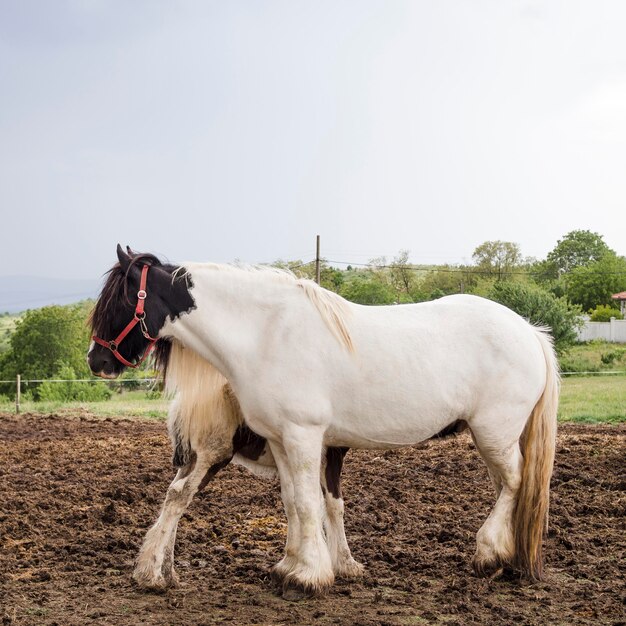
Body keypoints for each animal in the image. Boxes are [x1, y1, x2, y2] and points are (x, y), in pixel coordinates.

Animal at [86, 244, 556, 596]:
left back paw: (488, 554)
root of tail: (530, 332)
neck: (264, 333)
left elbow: (310, 504)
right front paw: (292, 566)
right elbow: (295, 502)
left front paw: (309, 576)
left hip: (493, 434)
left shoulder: (304, 437)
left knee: (514, 483)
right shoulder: (281, 441)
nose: (97, 361)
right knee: (506, 486)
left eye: (119, 299)